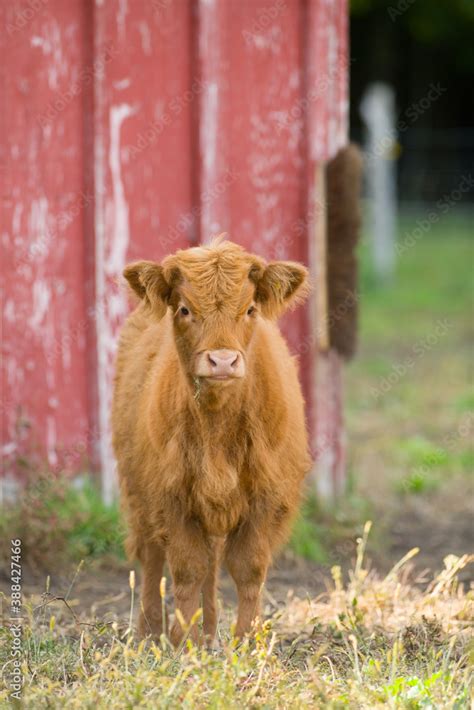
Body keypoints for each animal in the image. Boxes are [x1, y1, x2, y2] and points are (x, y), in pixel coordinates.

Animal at [111, 239, 312, 644]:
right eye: (185, 309)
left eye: (249, 309)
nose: (222, 361)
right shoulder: (170, 495)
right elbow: (187, 568)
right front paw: (183, 642)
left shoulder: (265, 497)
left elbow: (247, 568)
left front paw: (246, 640)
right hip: (139, 491)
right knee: (152, 556)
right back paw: (151, 630)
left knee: (212, 560)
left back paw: (207, 629)